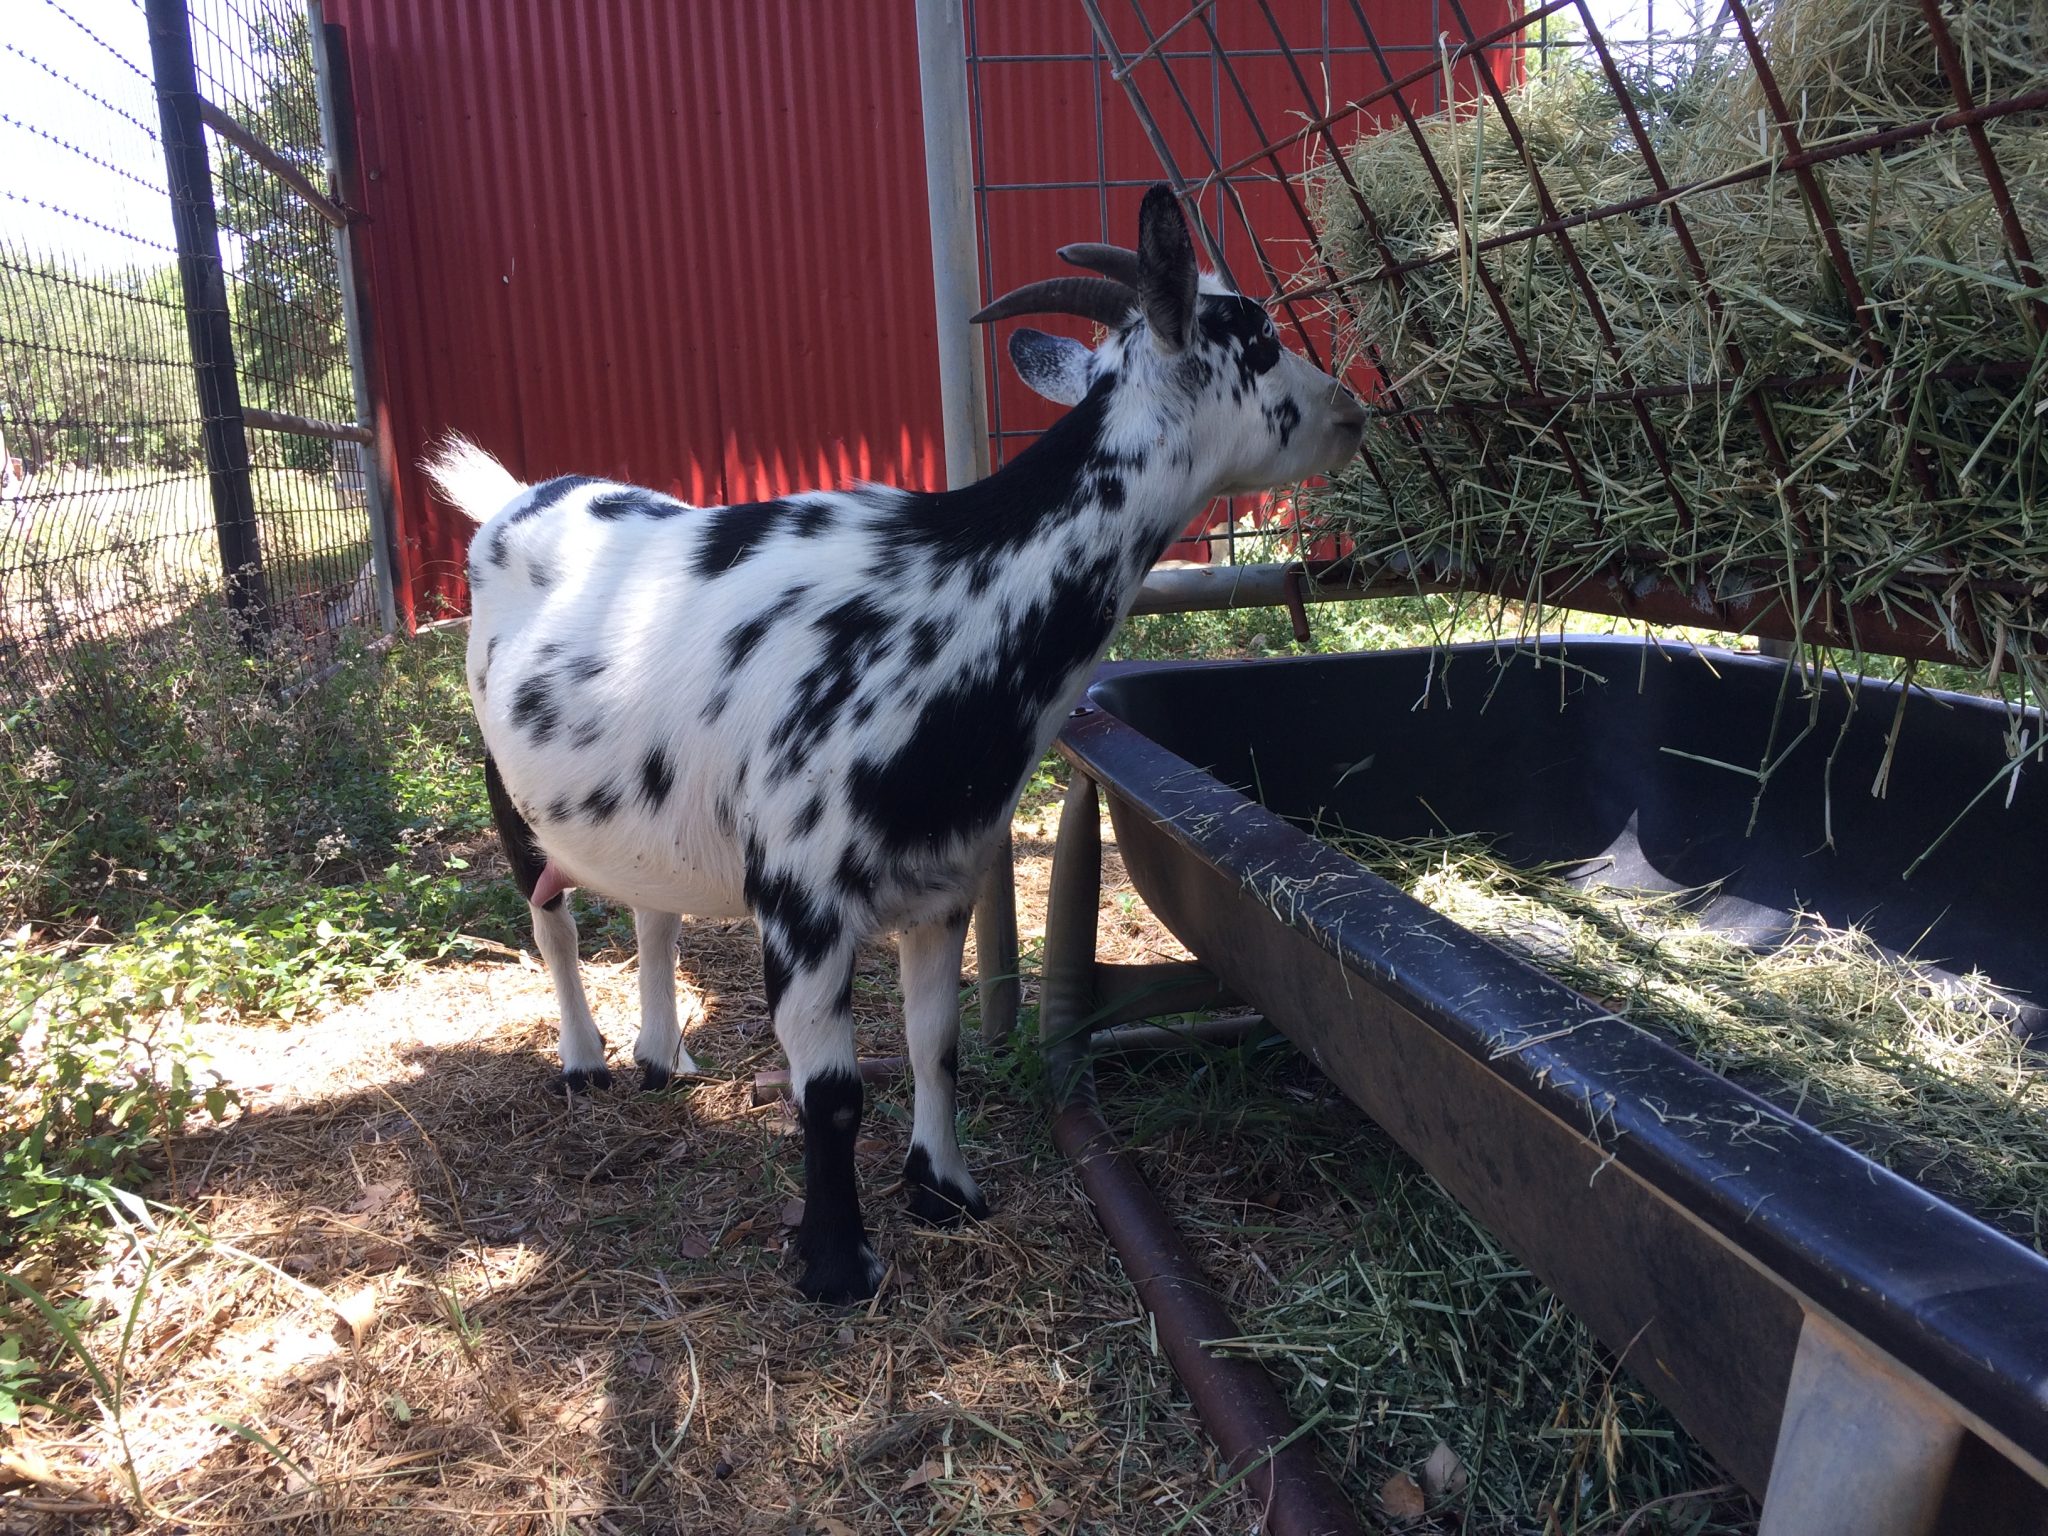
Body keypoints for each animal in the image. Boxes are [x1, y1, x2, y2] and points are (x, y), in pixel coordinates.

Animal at [425, 186, 1366, 1302]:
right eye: (1258, 337)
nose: (1352, 408)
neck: (947, 605)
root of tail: (512, 498)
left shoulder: (945, 882)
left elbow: (934, 1043)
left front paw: (944, 1192)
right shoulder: (802, 904)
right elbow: (829, 1091)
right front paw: (838, 1265)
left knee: (652, 908)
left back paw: (663, 1057)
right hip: (506, 782)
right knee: (552, 917)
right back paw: (583, 1060)